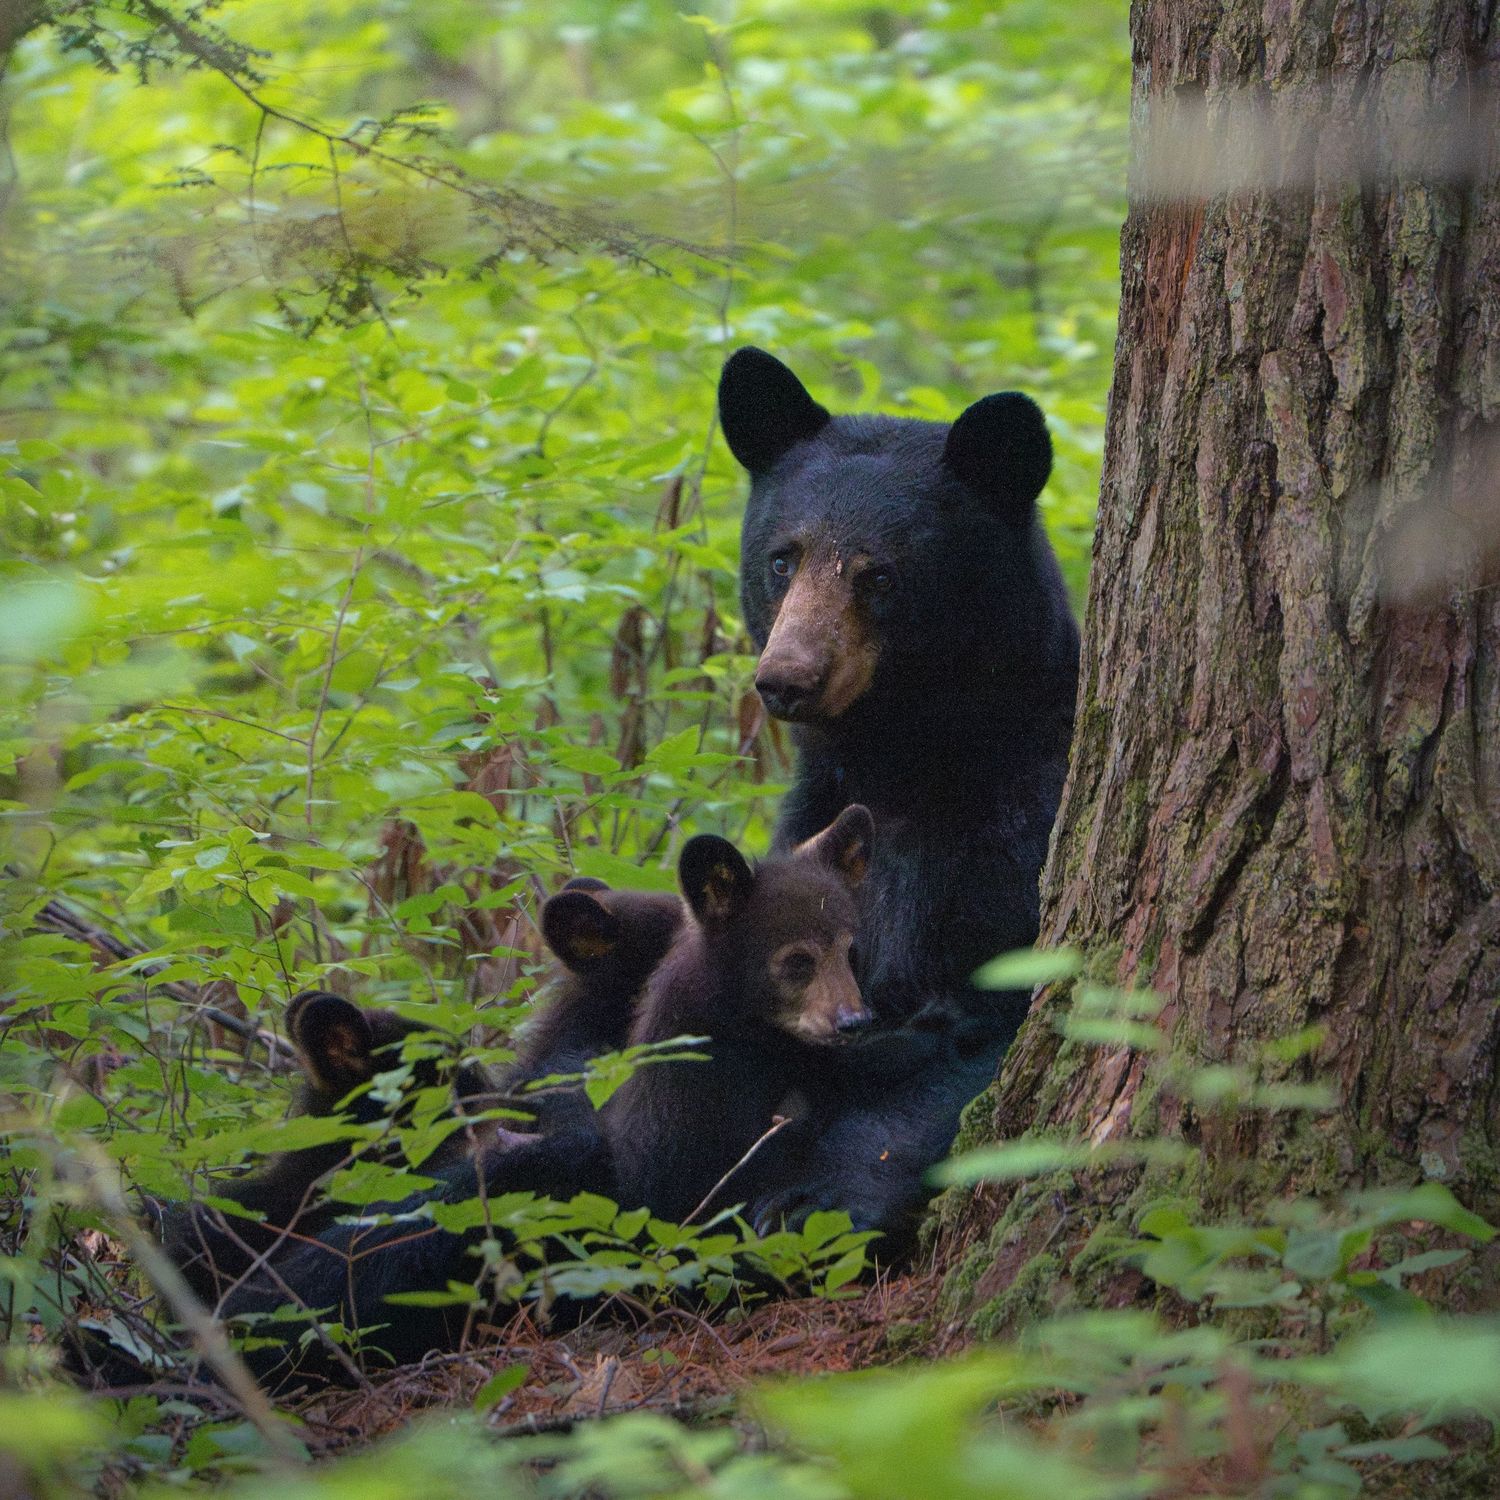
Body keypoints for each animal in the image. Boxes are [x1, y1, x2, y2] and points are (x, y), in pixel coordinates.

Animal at [716, 346, 1080, 1249]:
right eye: (784, 558)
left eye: (879, 575)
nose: (786, 679)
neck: (901, 760)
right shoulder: (811, 825)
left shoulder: (1018, 841)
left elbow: (985, 1030)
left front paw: (814, 1197)